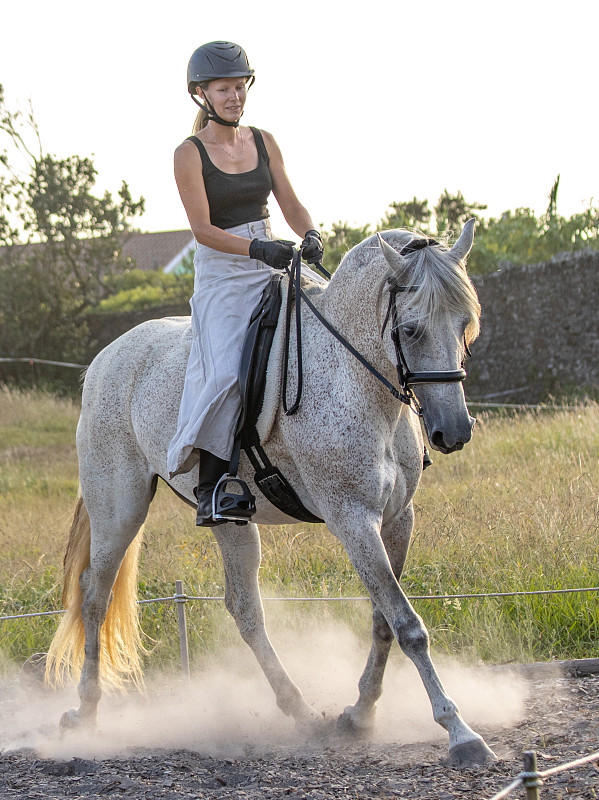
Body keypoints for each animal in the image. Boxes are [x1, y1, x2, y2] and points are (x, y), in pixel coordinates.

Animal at [45, 219, 496, 768]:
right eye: (410, 330)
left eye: (465, 324)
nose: (455, 431)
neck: (354, 377)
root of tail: (105, 359)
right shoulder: (353, 519)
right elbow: (407, 623)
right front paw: (459, 732)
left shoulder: (397, 518)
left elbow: (384, 620)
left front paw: (358, 714)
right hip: (119, 509)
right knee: (94, 594)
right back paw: (86, 713)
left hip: (229, 521)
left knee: (244, 608)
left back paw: (299, 710)